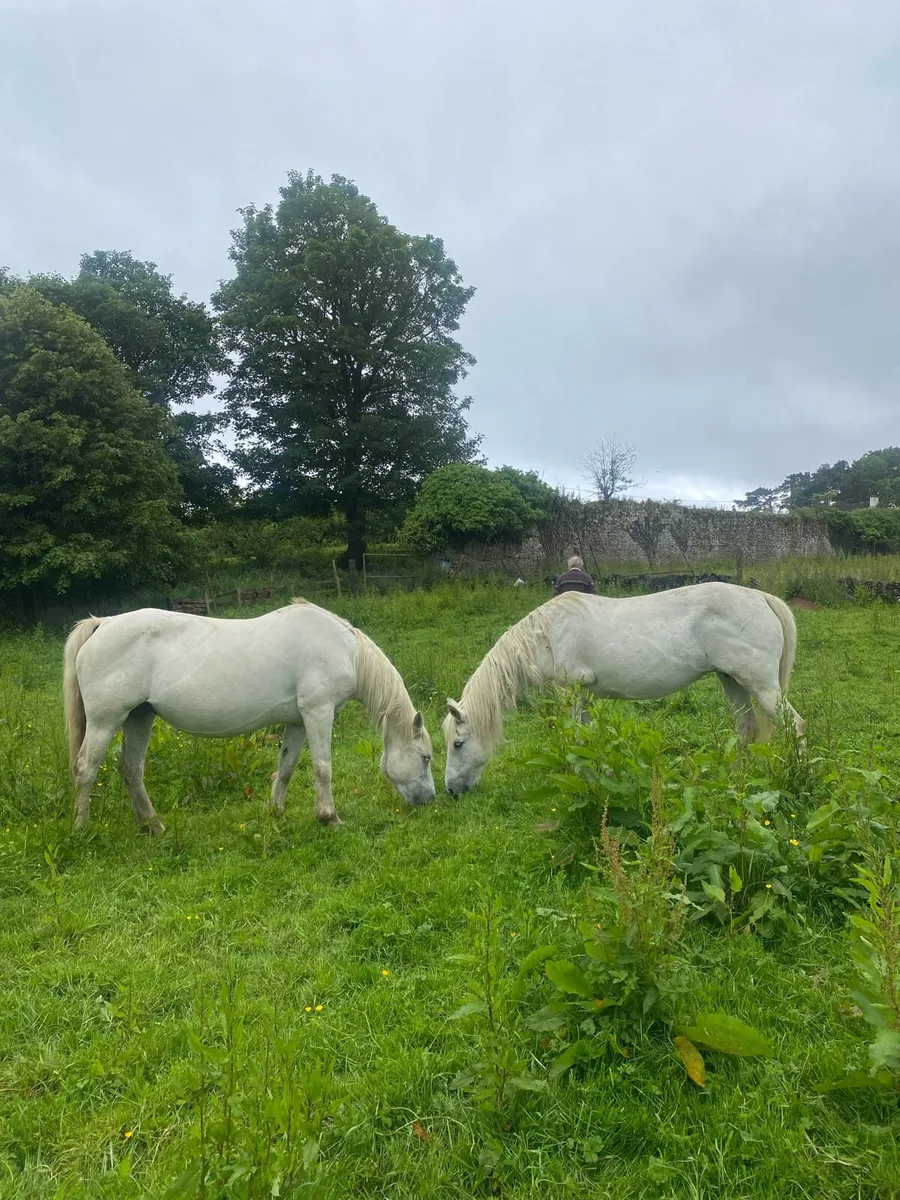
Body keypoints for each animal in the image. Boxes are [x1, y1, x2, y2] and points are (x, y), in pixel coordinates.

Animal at [63, 598, 435, 832]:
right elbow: (323, 767)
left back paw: (153, 826)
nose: (429, 800)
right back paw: (81, 828)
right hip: (105, 722)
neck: (344, 649)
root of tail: (103, 623)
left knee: (131, 769)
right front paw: (329, 818)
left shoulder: (297, 721)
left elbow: (286, 768)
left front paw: (276, 813)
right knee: (86, 768)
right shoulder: (318, 712)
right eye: (427, 757)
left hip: (140, 717)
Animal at [443, 582, 804, 794]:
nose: (451, 790)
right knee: (746, 728)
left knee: (795, 725)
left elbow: (576, 742)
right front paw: (598, 777)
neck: (547, 635)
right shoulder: (585, 695)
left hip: (762, 687)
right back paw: (733, 780)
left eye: (458, 744)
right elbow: (589, 740)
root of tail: (761, 597)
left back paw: (797, 775)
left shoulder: (569, 692)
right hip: (732, 681)